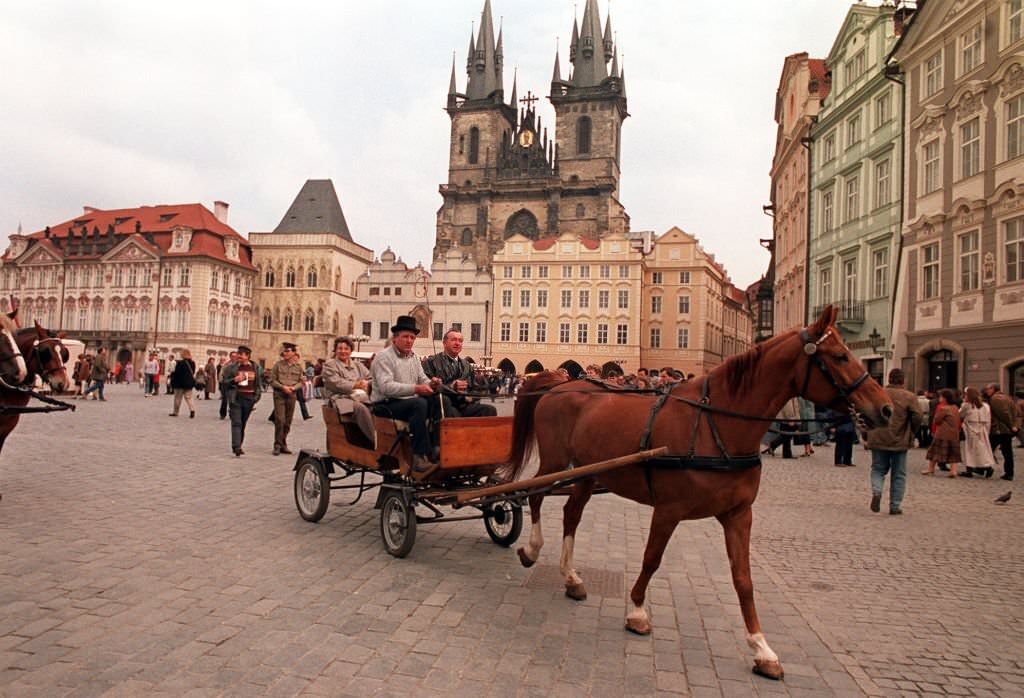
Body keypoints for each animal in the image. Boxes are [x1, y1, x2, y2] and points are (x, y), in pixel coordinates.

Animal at [507, 304, 892, 675]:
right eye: (839, 356)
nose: (886, 408)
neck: (715, 424)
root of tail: (559, 382)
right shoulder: (669, 509)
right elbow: (651, 559)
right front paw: (637, 612)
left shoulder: (738, 515)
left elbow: (743, 579)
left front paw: (762, 649)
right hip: (555, 462)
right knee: (533, 495)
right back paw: (531, 550)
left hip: (589, 472)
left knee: (571, 513)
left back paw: (571, 577)